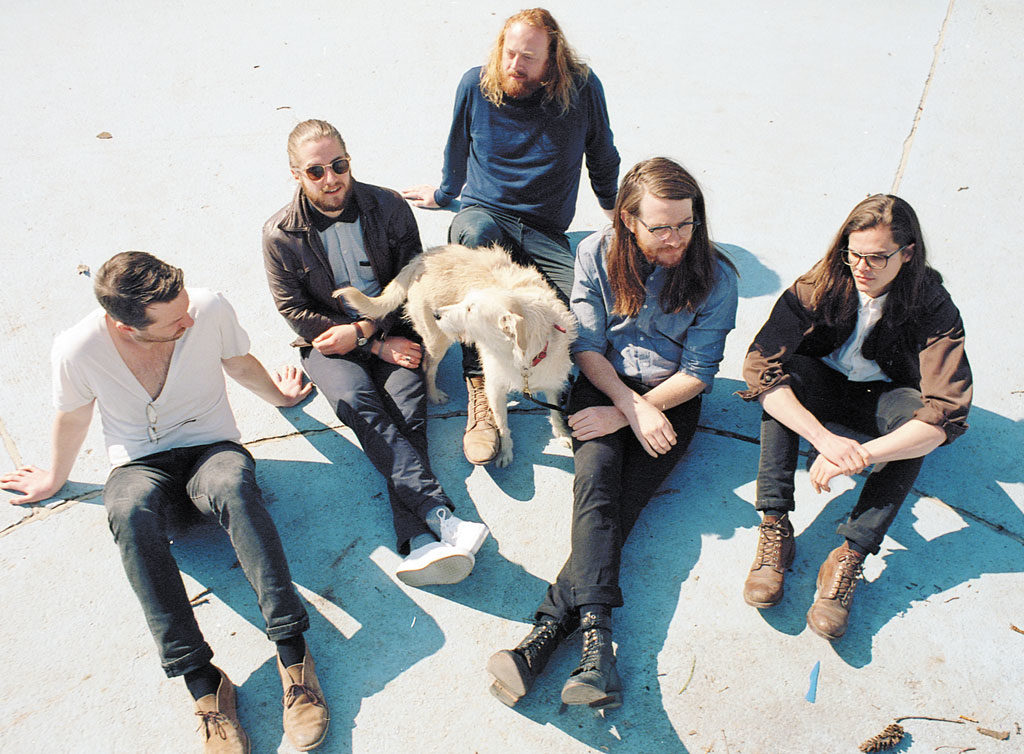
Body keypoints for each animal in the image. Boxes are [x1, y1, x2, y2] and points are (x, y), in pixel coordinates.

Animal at [335, 244, 576, 467]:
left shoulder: (552, 383)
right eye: (465, 302)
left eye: (470, 309)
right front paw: (505, 451)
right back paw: (434, 394)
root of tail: (420, 259)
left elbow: (555, 411)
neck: (520, 356)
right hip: (437, 341)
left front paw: (562, 434)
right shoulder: (495, 388)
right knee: (427, 367)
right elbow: (502, 425)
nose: (437, 314)